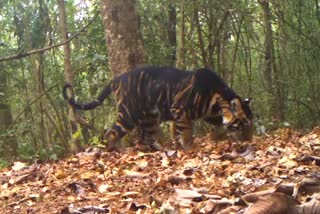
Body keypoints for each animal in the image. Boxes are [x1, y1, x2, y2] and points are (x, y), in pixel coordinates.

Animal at [63, 66, 252, 151]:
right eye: (242, 123)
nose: (250, 141)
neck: (218, 98)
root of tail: (116, 79)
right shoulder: (180, 110)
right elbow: (186, 133)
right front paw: (190, 149)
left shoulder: (206, 115)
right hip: (127, 115)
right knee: (111, 133)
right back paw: (114, 152)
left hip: (149, 118)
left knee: (146, 138)